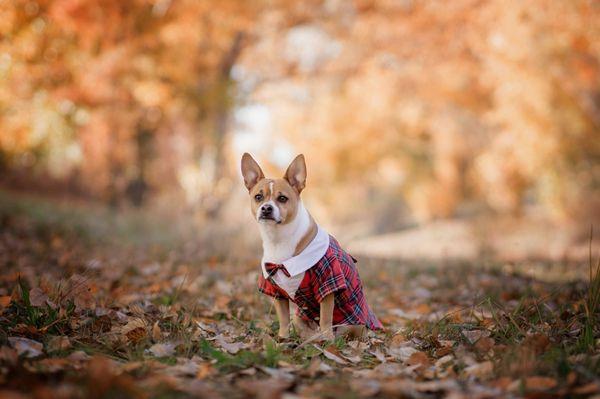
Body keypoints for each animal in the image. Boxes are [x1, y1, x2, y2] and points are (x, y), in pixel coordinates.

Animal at [239, 153, 380, 340]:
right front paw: (283, 338)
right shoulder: (277, 292)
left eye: (282, 198)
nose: (266, 208)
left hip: (351, 325)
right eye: (258, 197)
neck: (278, 239)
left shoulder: (327, 285)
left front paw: (328, 341)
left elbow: (326, 318)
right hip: (300, 318)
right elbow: (283, 318)